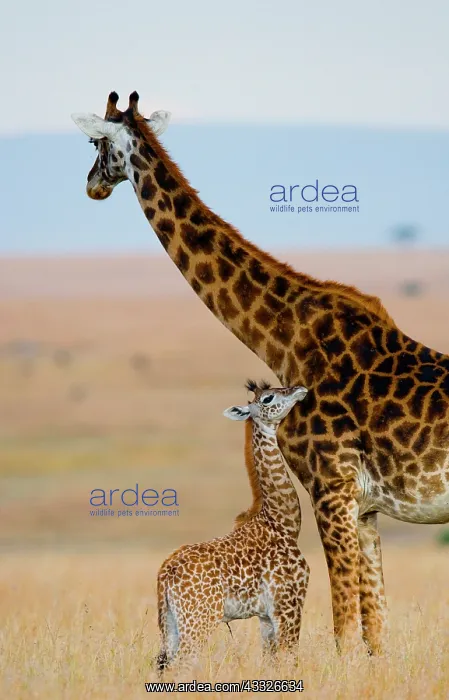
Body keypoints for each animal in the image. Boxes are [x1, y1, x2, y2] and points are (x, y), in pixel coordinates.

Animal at [156, 381, 310, 670]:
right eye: (268, 397)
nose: (300, 389)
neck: (282, 521)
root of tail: (165, 574)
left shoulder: (265, 617)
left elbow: (271, 662)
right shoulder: (288, 604)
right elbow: (290, 660)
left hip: (169, 623)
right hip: (199, 620)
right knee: (182, 665)